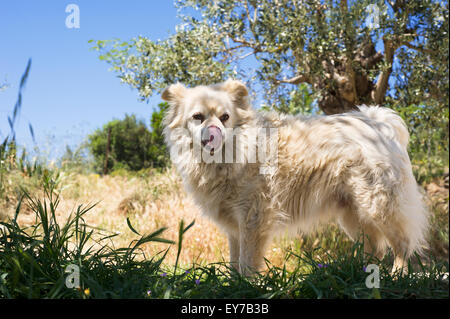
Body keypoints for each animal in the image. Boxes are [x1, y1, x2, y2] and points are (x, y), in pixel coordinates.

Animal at [162, 79, 428, 276]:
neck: (228, 158)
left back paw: (398, 275)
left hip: (378, 205)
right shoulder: (234, 227)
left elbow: (247, 263)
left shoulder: (252, 219)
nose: (214, 134)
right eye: (197, 117)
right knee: (375, 247)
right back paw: (361, 275)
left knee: (402, 243)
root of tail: (378, 122)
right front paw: (232, 284)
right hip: (352, 214)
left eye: (225, 117)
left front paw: (246, 286)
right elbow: (234, 262)